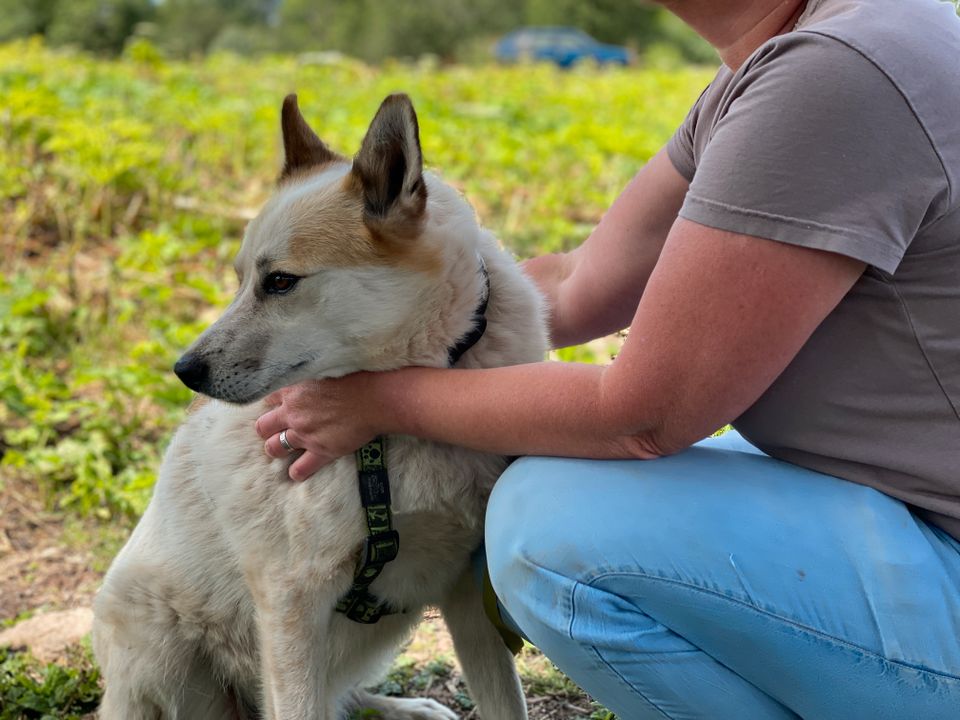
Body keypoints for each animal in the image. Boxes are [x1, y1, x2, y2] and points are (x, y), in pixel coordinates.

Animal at [94, 91, 552, 720]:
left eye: (280, 282)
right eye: (241, 280)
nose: (184, 371)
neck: (388, 438)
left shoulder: (468, 590)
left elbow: (505, 702)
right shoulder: (293, 598)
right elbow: (300, 707)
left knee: (342, 695)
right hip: (162, 649)